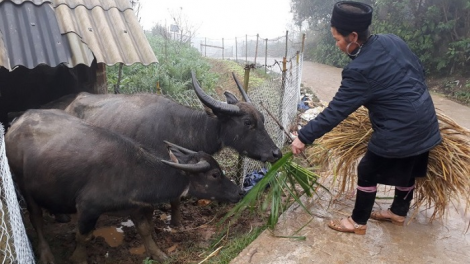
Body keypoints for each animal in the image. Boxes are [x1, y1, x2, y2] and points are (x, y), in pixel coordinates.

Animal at [4, 108, 242, 262]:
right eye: (215, 174)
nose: (239, 192)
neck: (134, 172)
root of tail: (17, 123)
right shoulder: (88, 208)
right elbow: (83, 236)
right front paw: (78, 257)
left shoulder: (135, 206)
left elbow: (145, 229)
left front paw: (158, 254)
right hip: (23, 184)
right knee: (36, 218)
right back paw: (46, 253)